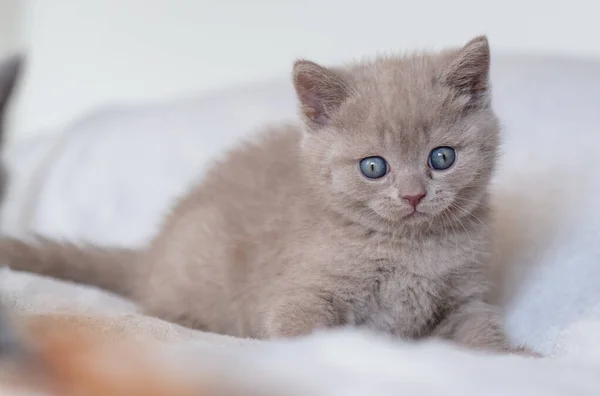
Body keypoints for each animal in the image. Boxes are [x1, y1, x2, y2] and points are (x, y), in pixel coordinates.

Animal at [0, 37, 528, 352]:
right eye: (374, 167)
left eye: (441, 158)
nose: (414, 196)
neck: (410, 248)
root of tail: (150, 251)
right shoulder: (300, 295)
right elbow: (301, 331)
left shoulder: (464, 296)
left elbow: (481, 332)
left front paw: (515, 356)